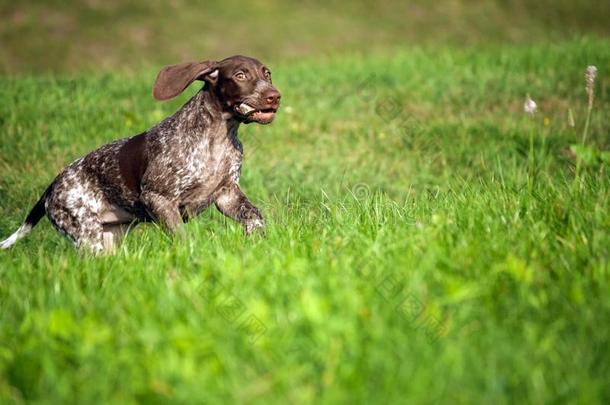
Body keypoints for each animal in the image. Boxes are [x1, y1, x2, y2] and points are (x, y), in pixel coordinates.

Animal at [0, 54, 280, 252]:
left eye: (267, 74)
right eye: (240, 75)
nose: (274, 96)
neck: (218, 136)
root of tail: (52, 187)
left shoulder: (227, 194)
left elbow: (255, 217)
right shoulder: (158, 198)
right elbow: (183, 238)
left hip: (109, 237)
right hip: (86, 233)